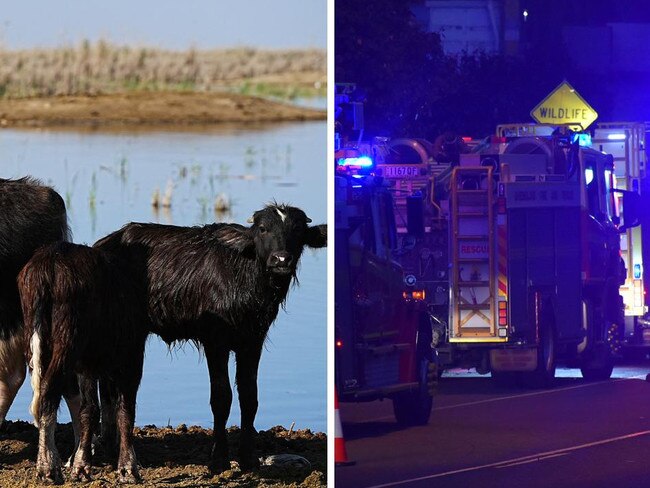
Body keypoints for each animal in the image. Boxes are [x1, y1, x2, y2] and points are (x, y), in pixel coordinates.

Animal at [18, 242, 147, 482]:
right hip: (68, 339)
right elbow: (125, 409)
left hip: (36, 337)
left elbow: (89, 409)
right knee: (49, 389)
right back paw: (48, 467)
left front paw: (81, 465)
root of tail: (49, 260)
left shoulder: (87, 365)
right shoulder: (131, 356)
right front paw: (128, 468)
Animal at [93, 204, 326, 470]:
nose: (281, 259)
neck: (244, 278)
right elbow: (221, 397)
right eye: (263, 229)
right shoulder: (215, 342)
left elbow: (249, 397)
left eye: (297, 229)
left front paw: (248, 457)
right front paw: (219, 458)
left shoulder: (253, 341)